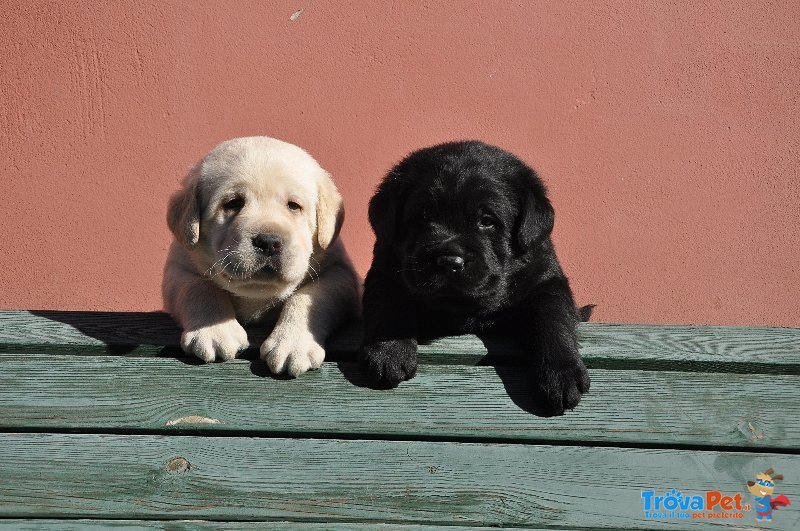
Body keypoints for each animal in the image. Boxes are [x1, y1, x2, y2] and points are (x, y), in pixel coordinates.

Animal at [162, 137, 360, 376]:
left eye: (294, 206)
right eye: (233, 203)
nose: (268, 242)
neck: (257, 293)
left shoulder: (339, 273)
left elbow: (307, 297)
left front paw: (292, 344)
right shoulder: (178, 268)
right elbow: (198, 287)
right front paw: (214, 331)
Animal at [360, 141, 592, 416]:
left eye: (487, 221)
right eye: (424, 216)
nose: (450, 261)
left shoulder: (545, 279)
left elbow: (552, 317)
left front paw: (561, 374)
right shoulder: (385, 270)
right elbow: (389, 303)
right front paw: (388, 351)